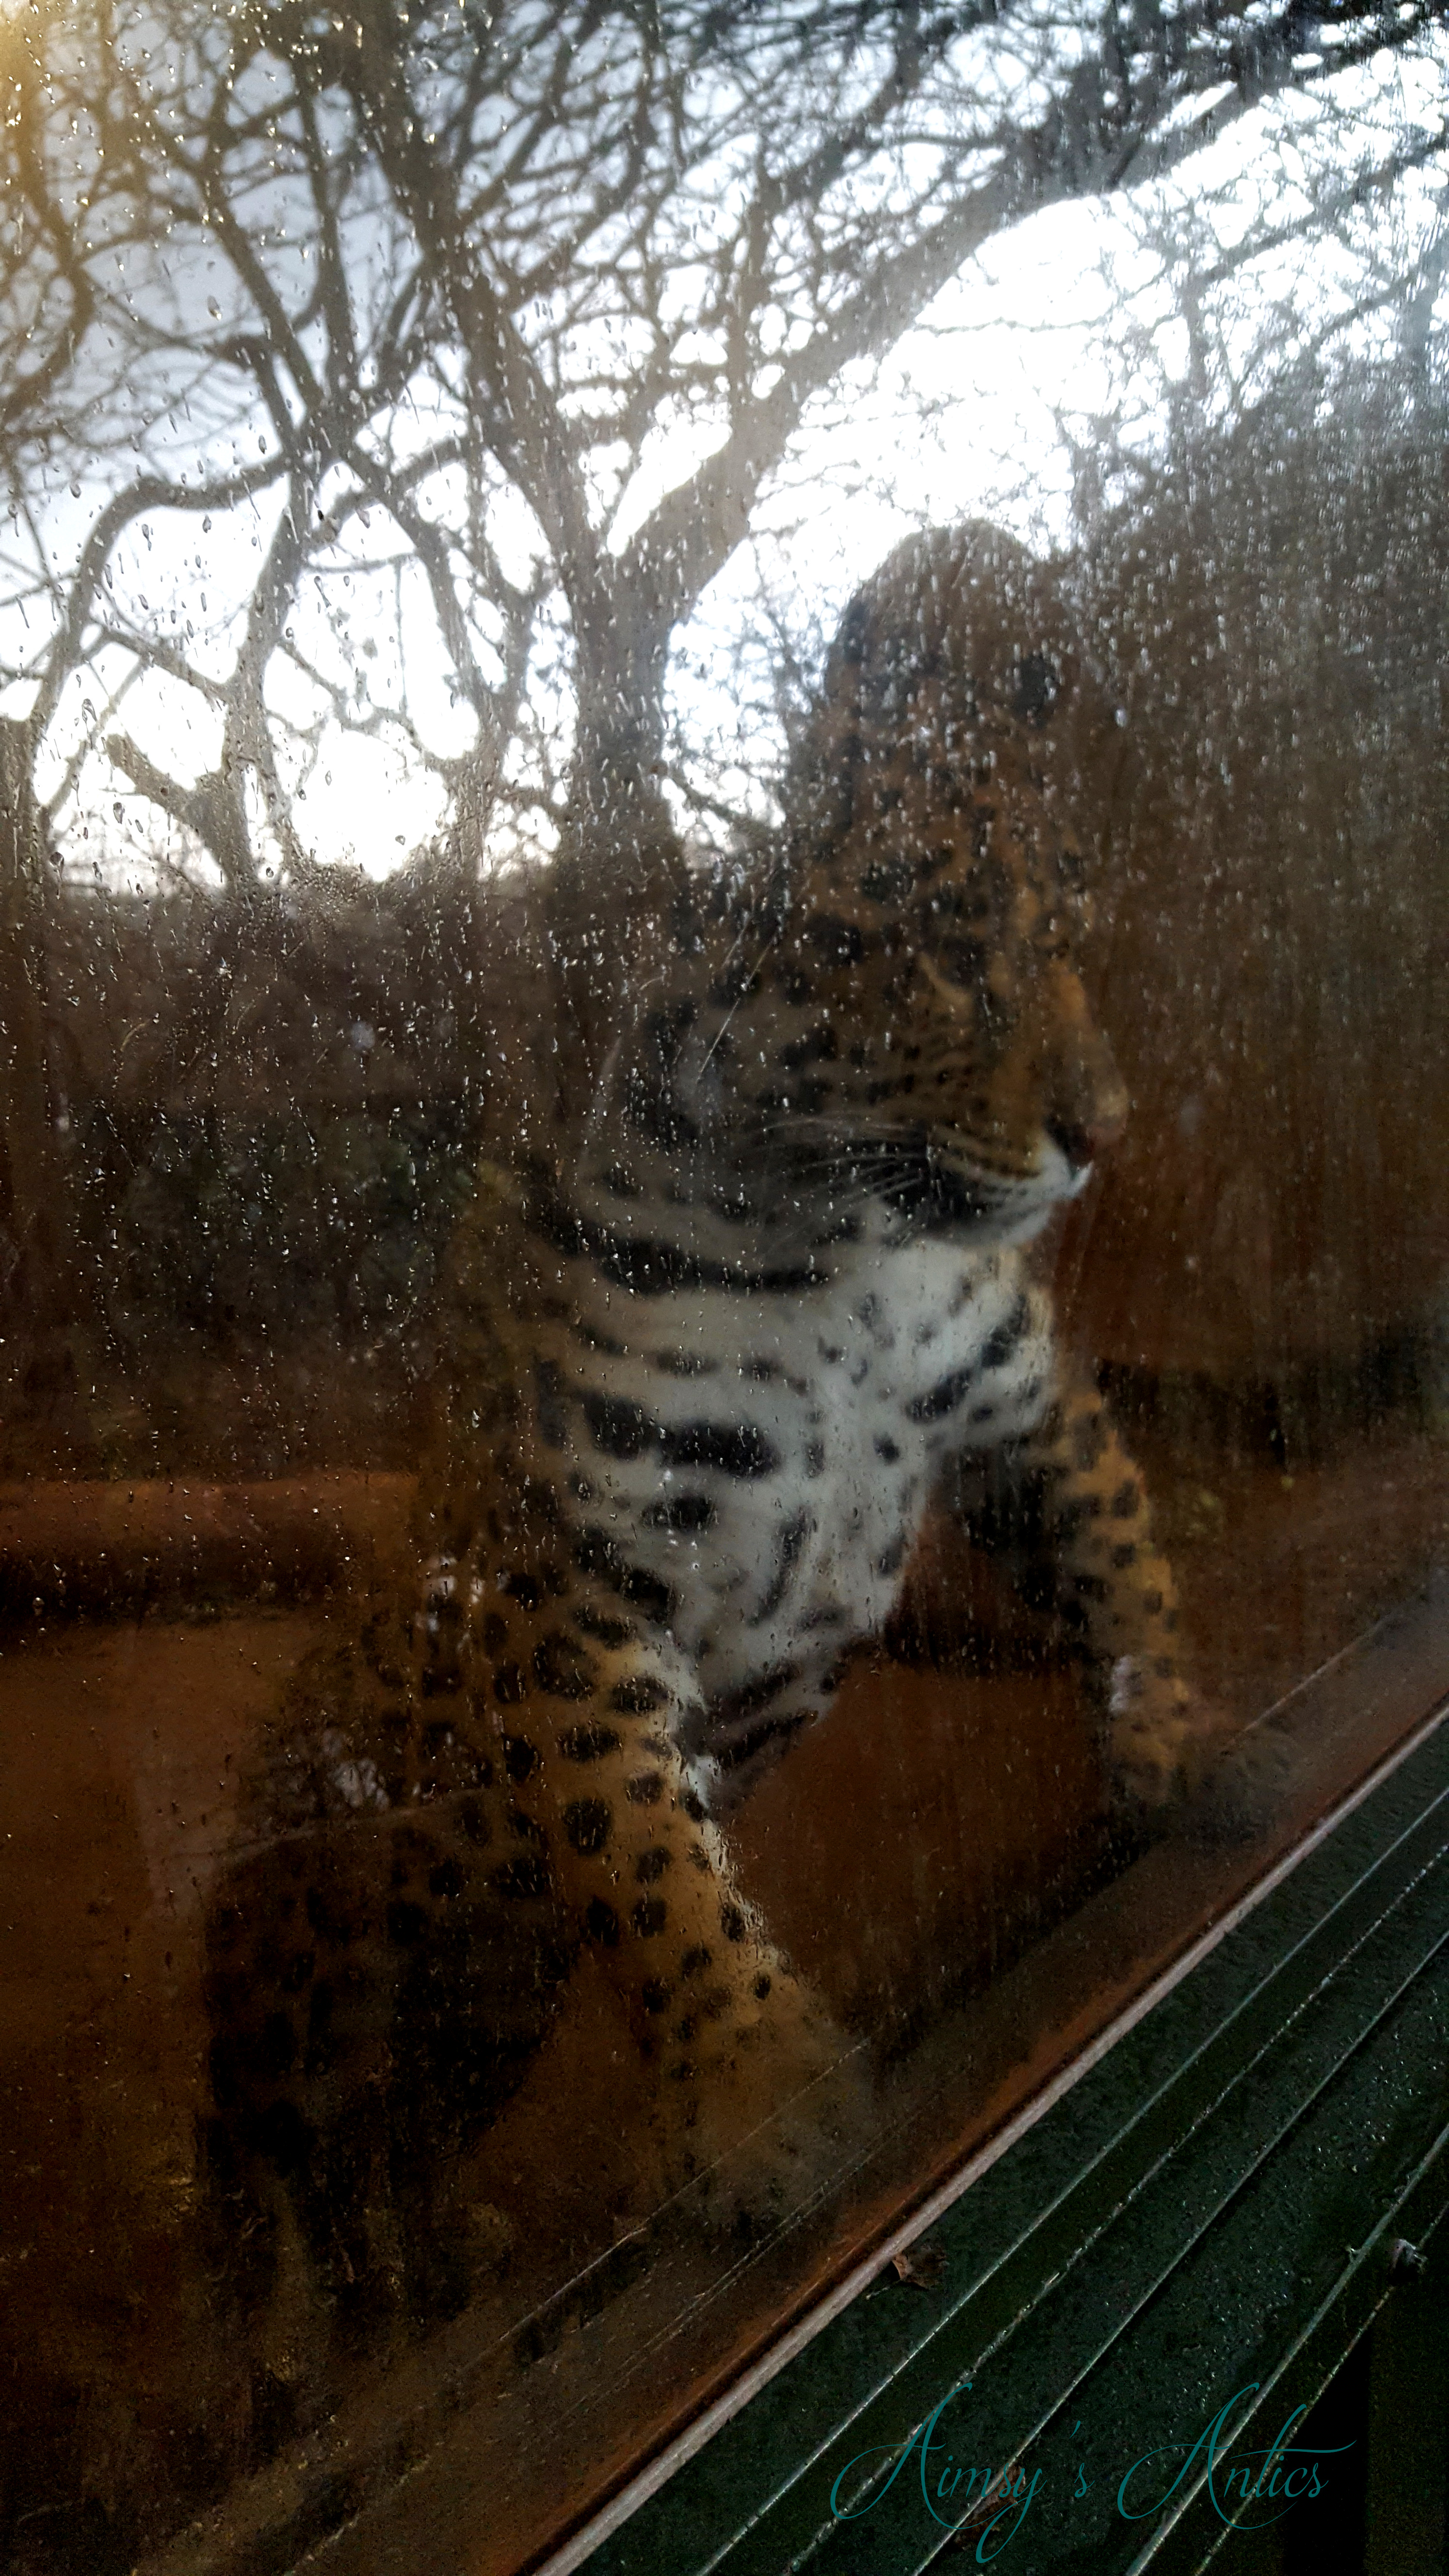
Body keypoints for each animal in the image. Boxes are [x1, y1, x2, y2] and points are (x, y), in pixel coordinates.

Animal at [200, 520, 1244, 2366]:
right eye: (942, 956)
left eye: (1069, 936)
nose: (1105, 1134)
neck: (820, 1245)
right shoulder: (568, 1571)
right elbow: (644, 1860)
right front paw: (758, 2097)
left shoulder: (1021, 1400)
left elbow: (1122, 1560)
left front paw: (1170, 1743)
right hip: (282, 1990)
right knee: (263, 2186)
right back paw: (305, 2339)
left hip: (473, 2019)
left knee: (385, 2163)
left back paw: (437, 2266)